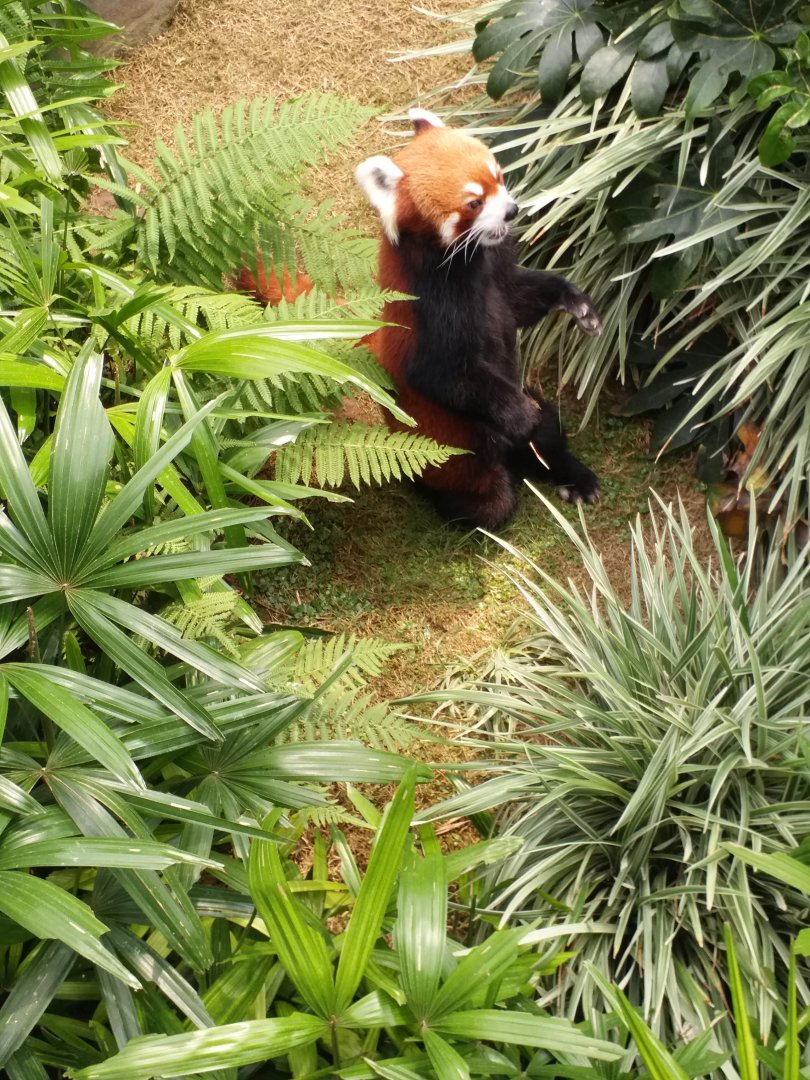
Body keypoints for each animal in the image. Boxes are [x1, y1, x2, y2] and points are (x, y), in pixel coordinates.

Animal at [355, 108, 602, 529]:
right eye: (473, 203)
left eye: (498, 175)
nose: (512, 211)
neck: (469, 264)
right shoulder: (429, 305)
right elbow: (443, 374)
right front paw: (519, 414)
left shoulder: (497, 275)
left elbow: (519, 301)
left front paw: (575, 303)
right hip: (462, 459)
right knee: (492, 501)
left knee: (548, 431)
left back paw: (571, 476)